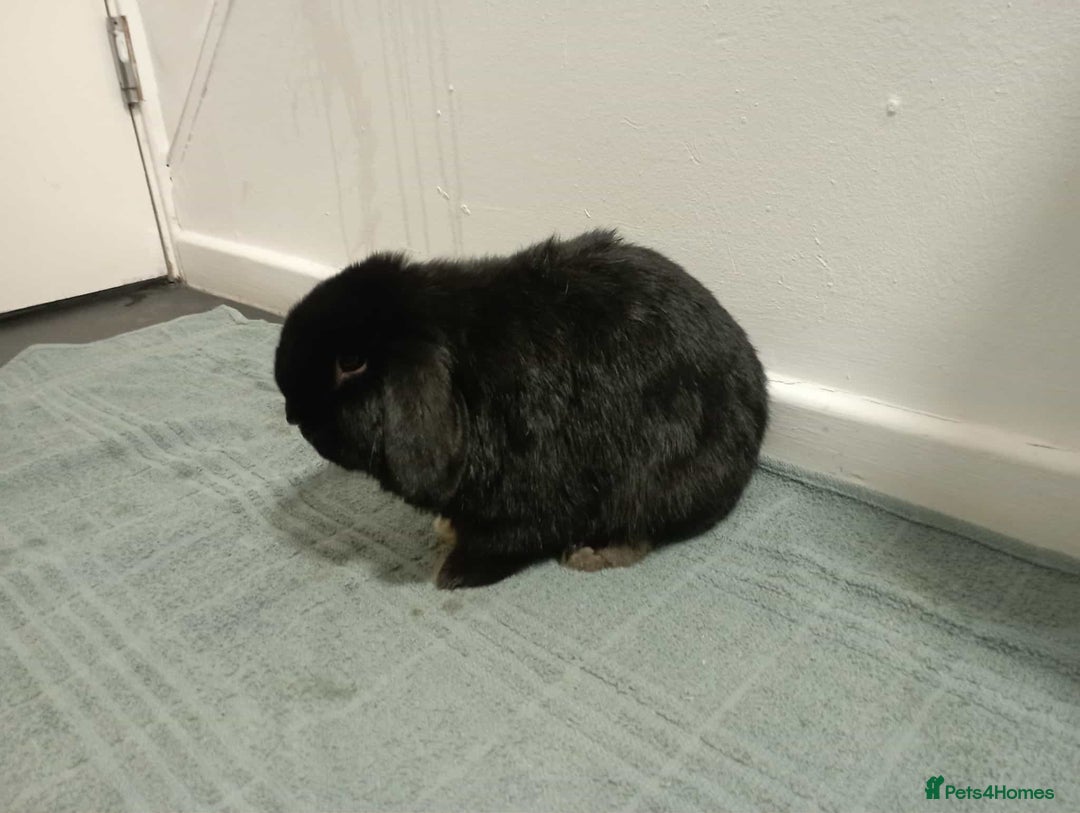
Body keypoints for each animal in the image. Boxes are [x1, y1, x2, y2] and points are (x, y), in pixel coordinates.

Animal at [274, 229, 768, 589]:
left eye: (351, 362)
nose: (292, 415)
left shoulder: (534, 495)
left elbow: (512, 539)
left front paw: (452, 575)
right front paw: (447, 529)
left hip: (659, 477)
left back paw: (593, 554)